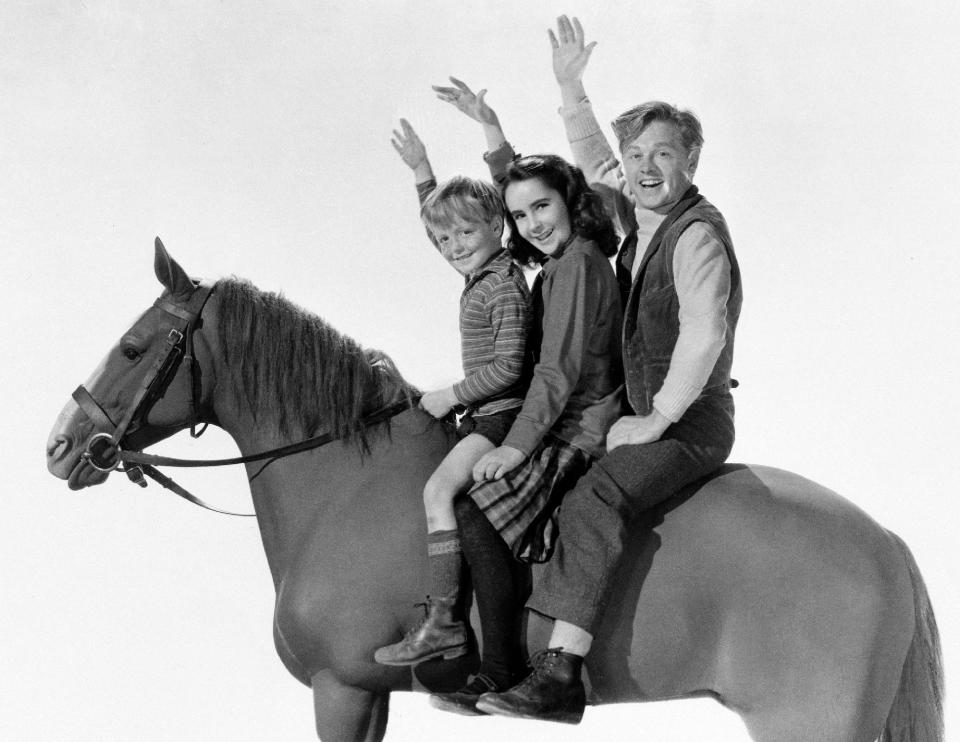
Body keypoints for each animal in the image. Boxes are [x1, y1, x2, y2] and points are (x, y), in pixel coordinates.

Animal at [48, 240, 940, 742]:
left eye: (132, 348)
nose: (61, 445)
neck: (344, 480)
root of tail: (886, 541)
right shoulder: (369, 696)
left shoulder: (341, 691)